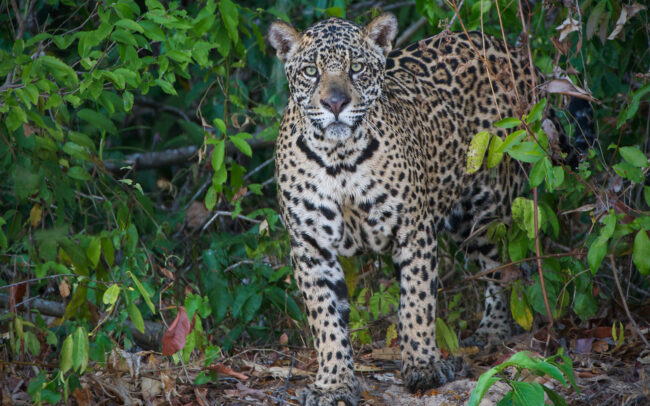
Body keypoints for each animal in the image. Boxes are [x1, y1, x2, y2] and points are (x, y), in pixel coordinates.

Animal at [268, 13, 586, 406]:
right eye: (311, 71)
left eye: (356, 68)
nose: (335, 103)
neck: (339, 157)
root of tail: (509, 49)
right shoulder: (310, 245)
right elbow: (325, 319)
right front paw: (333, 384)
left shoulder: (413, 230)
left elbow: (416, 303)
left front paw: (424, 366)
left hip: (487, 206)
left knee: (504, 268)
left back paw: (492, 332)